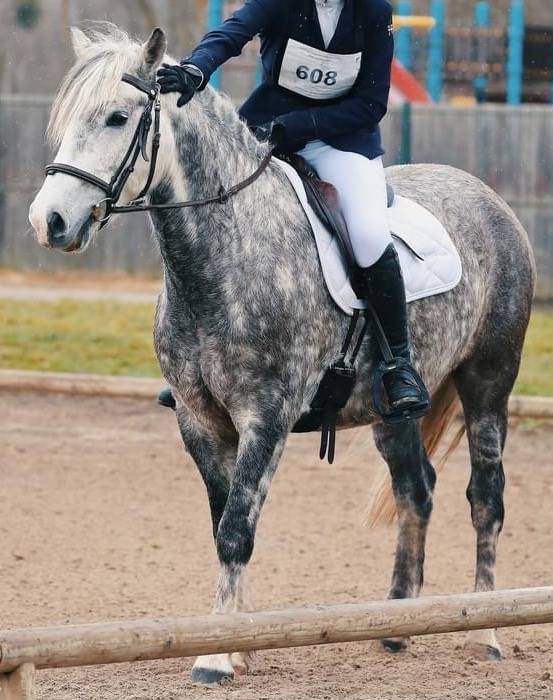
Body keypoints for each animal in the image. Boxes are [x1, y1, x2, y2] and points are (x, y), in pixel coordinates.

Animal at [29, 24, 535, 683]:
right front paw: (235, 643)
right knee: (415, 490)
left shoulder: (265, 418)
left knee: (486, 500)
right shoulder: (199, 421)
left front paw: (214, 657)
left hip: (488, 384)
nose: (50, 221)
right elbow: (222, 522)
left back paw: (486, 631)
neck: (223, 255)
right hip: (392, 409)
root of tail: (489, 198)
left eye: (118, 117)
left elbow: (236, 530)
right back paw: (396, 626)